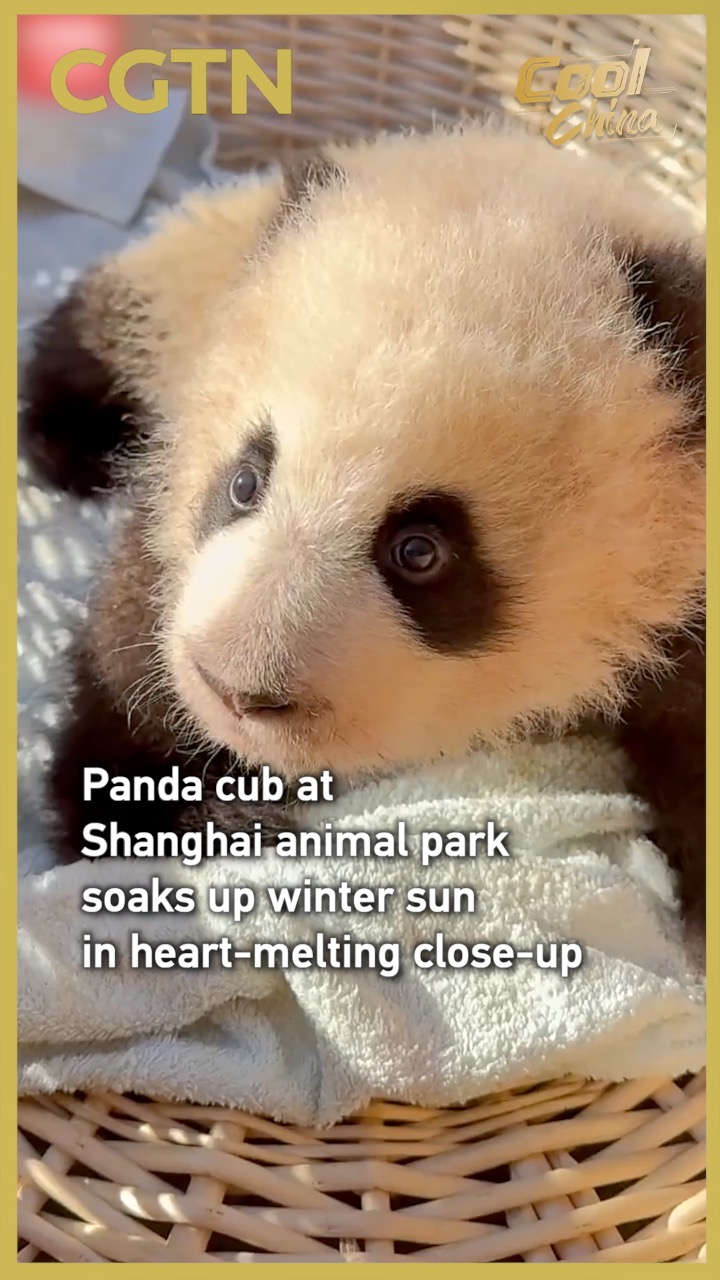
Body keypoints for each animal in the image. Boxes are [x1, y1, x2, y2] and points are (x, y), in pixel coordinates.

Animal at [20, 121, 706, 944]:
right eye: (244, 482)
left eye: (420, 552)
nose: (238, 690)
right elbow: (140, 623)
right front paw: (157, 808)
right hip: (191, 269)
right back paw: (67, 439)